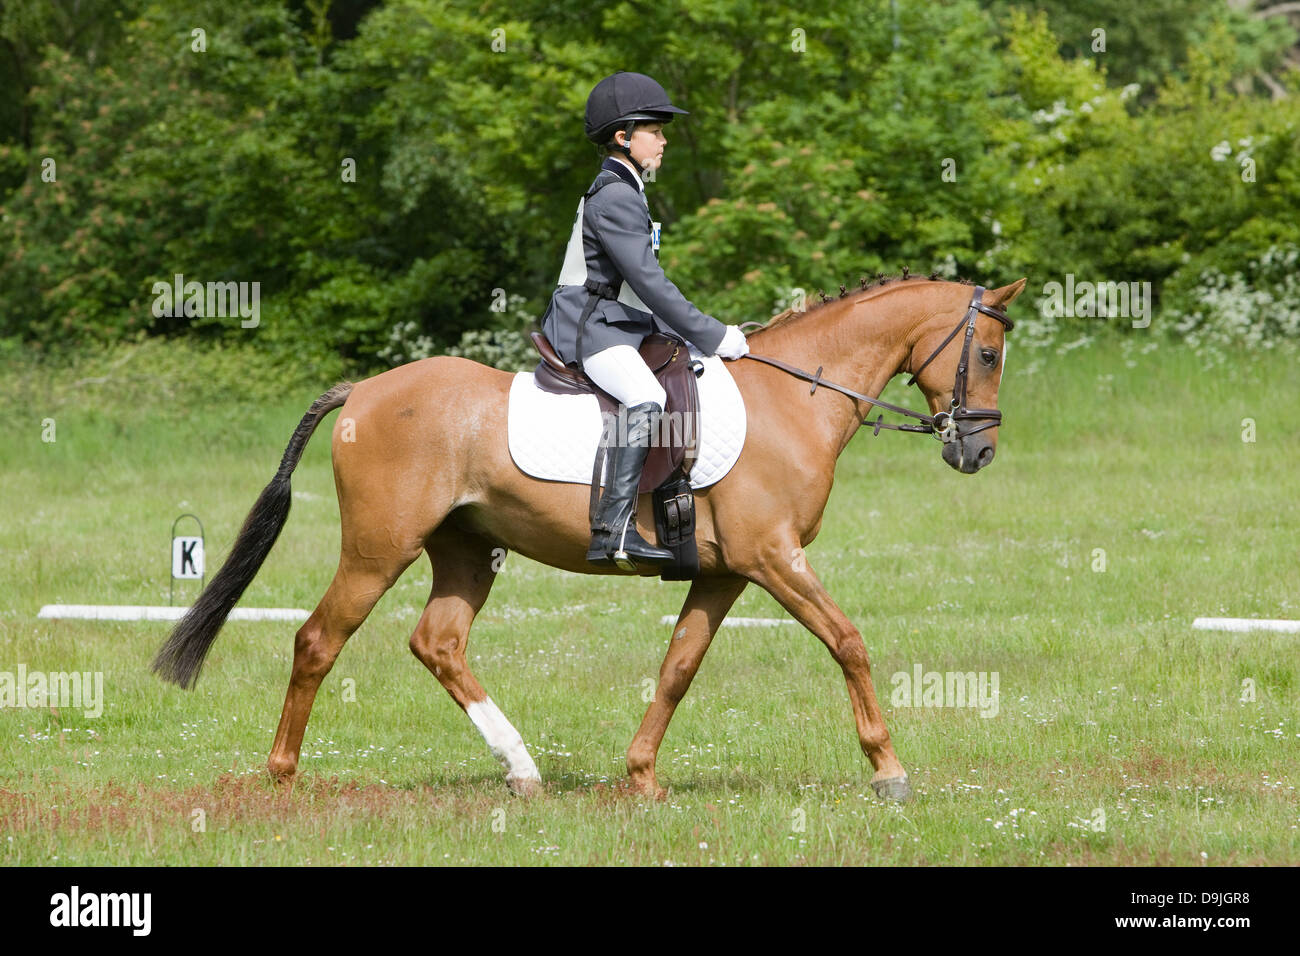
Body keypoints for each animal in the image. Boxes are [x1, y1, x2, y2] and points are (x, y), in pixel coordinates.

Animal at [152, 274, 1024, 801]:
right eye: (985, 352)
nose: (978, 452)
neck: (794, 398)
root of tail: (363, 389)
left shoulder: (726, 572)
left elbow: (678, 667)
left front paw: (641, 776)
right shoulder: (774, 558)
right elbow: (848, 641)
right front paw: (889, 771)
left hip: (467, 551)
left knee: (438, 642)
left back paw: (522, 769)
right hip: (378, 549)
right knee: (318, 640)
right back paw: (283, 773)